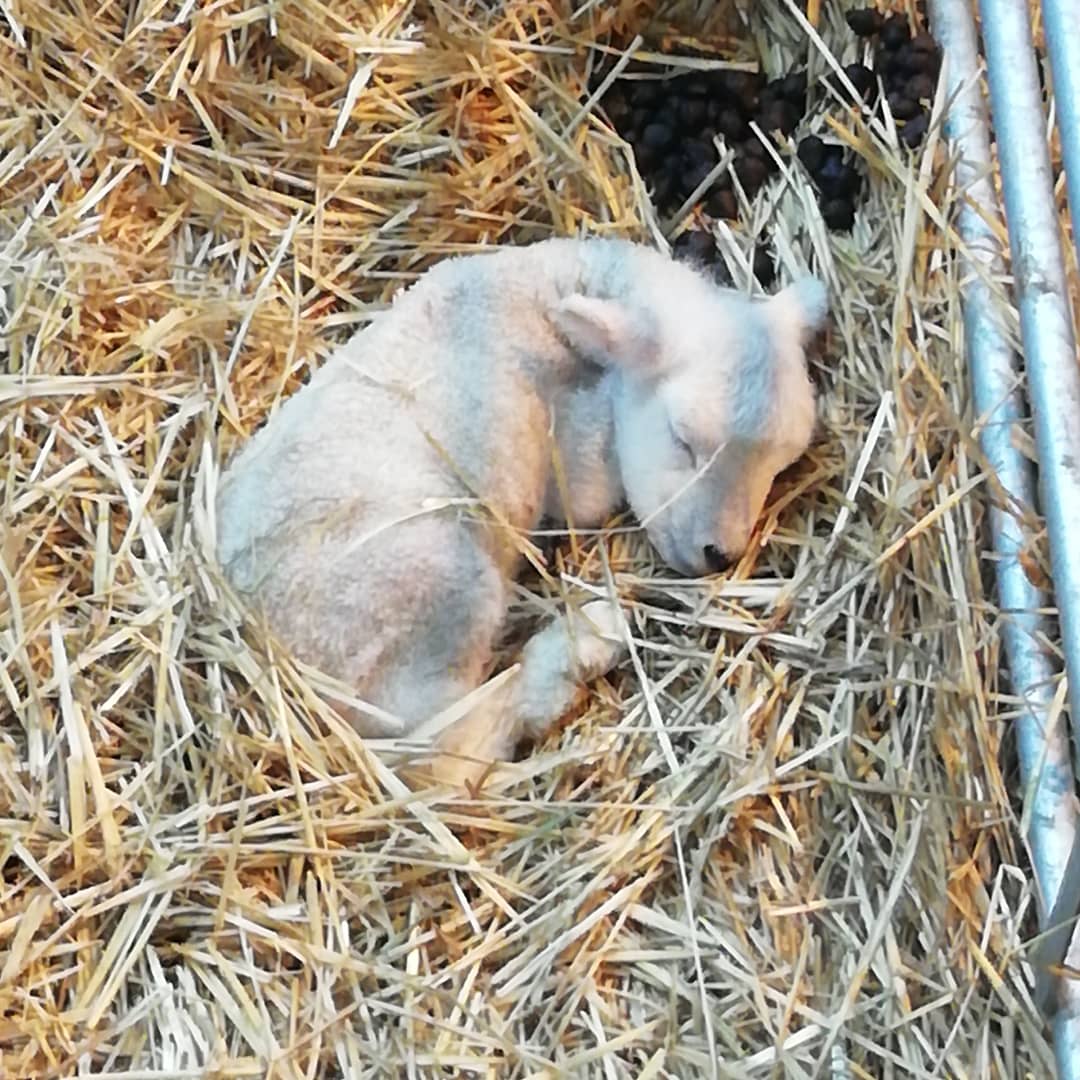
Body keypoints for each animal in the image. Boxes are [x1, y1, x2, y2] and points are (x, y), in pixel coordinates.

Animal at [215, 236, 828, 786]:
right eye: (683, 440)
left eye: (781, 464)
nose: (719, 553)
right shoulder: (575, 458)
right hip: (430, 582)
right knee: (443, 760)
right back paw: (585, 644)